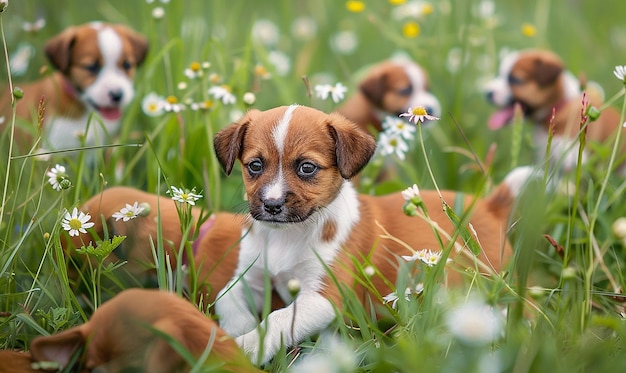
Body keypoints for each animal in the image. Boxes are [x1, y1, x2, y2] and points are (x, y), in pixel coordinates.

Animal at [212, 104, 528, 364]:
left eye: (307, 168)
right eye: (255, 165)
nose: (272, 205)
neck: (287, 236)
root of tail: (491, 205)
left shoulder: (325, 296)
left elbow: (279, 318)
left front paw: (249, 346)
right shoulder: (250, 275)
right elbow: (225, 295)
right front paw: (240, 328)